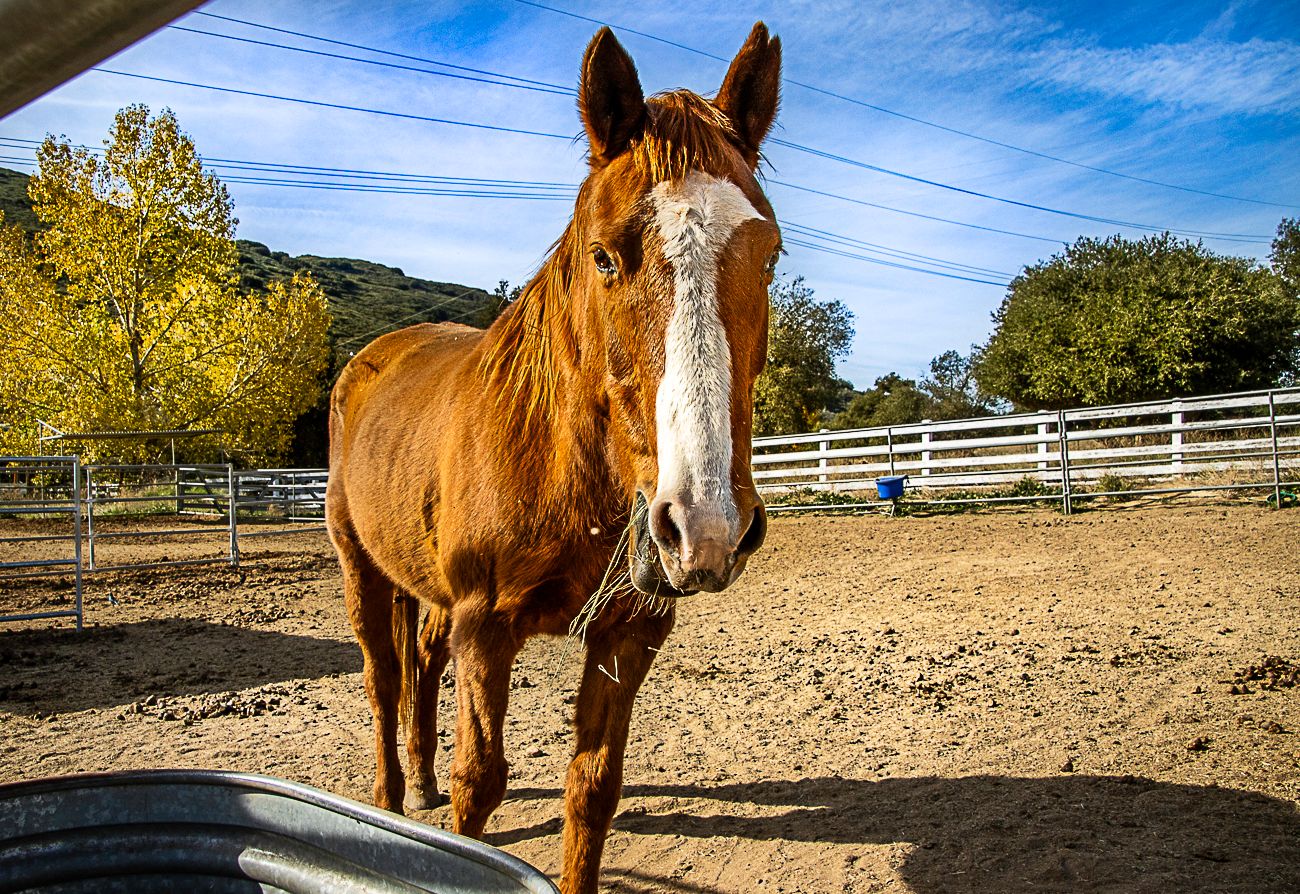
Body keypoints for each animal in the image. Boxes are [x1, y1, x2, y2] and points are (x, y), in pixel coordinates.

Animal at [325, 22, 781, 894]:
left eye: (770, 254)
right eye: (604, 257)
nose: (705, 525)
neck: (559, 467)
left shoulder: (628, 635)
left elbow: (592, 790)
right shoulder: (485, 631)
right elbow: (480, 787)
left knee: (420, 666)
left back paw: (417, 786)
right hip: (362, 568)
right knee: (382, 680)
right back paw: (390, 800)